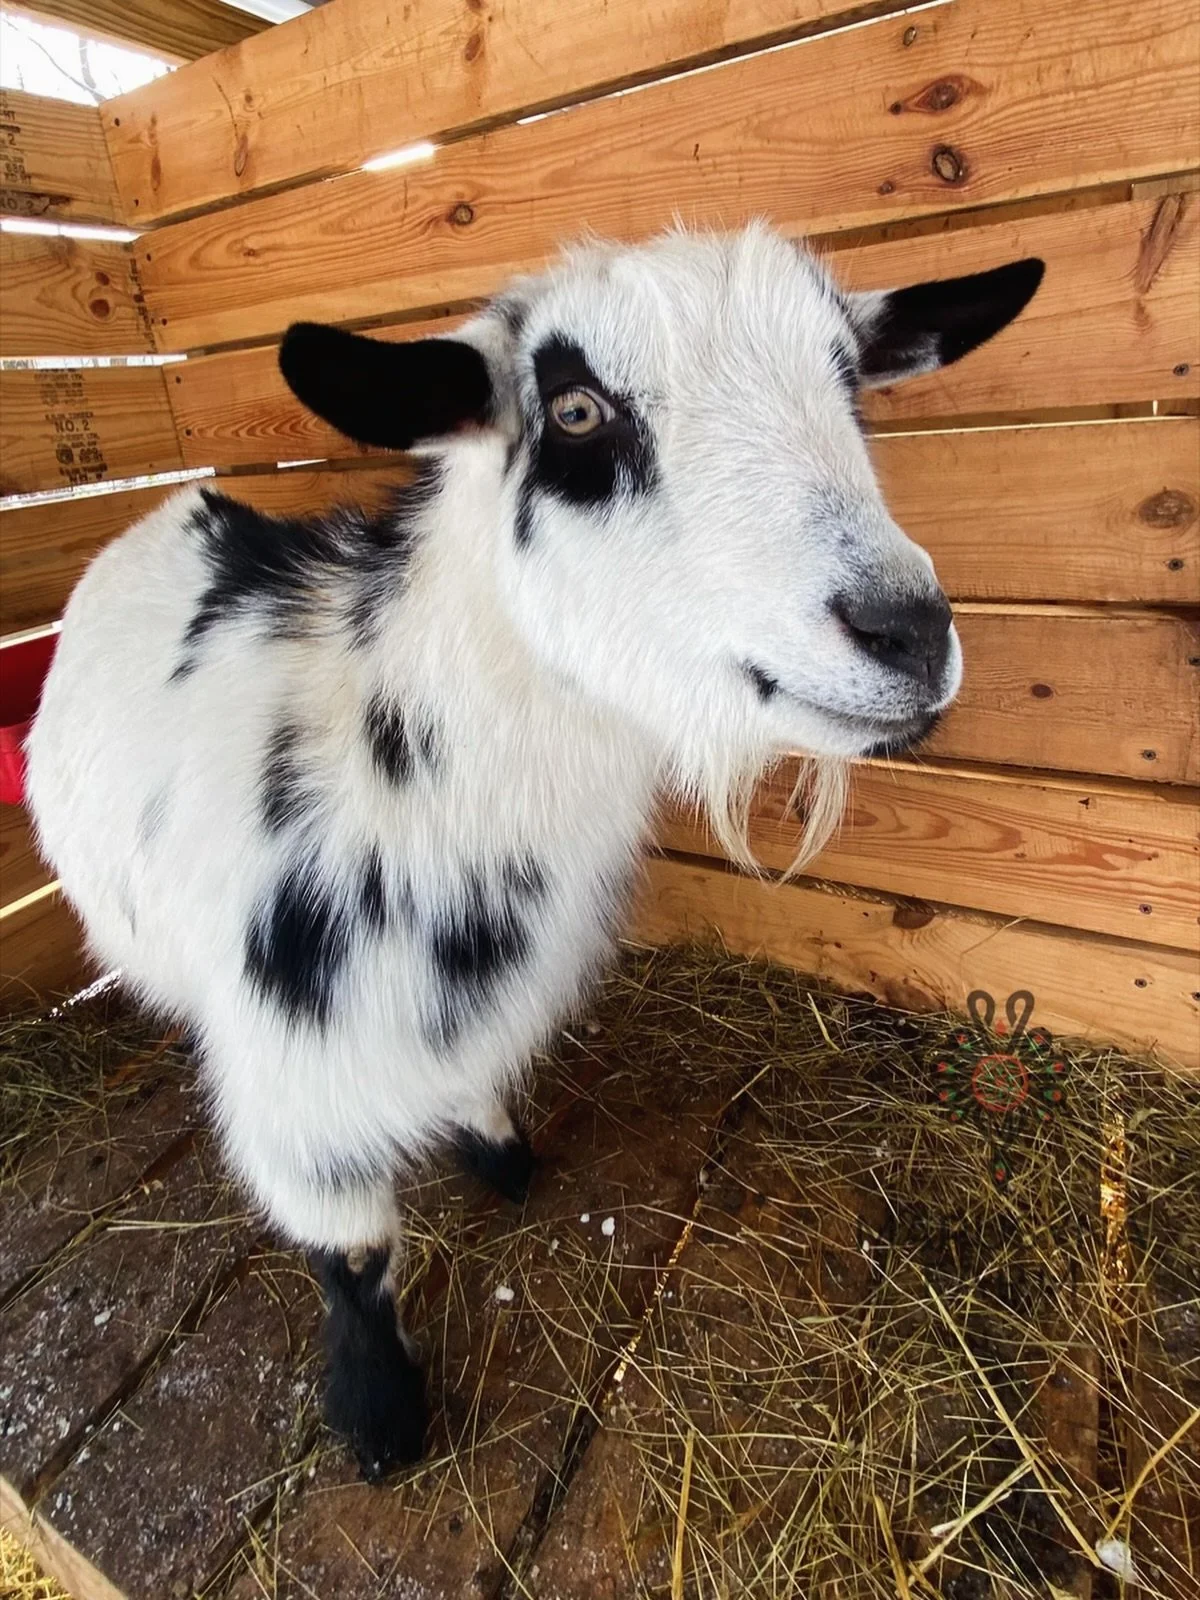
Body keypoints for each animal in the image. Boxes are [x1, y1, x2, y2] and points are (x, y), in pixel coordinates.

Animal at [27, 224, 1042, 1478]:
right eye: (575, 411)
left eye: (850, 378)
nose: (908, 633)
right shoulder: (293, 1085)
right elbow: (350, 1255)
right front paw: (378, 1416)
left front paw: (498, 1153)